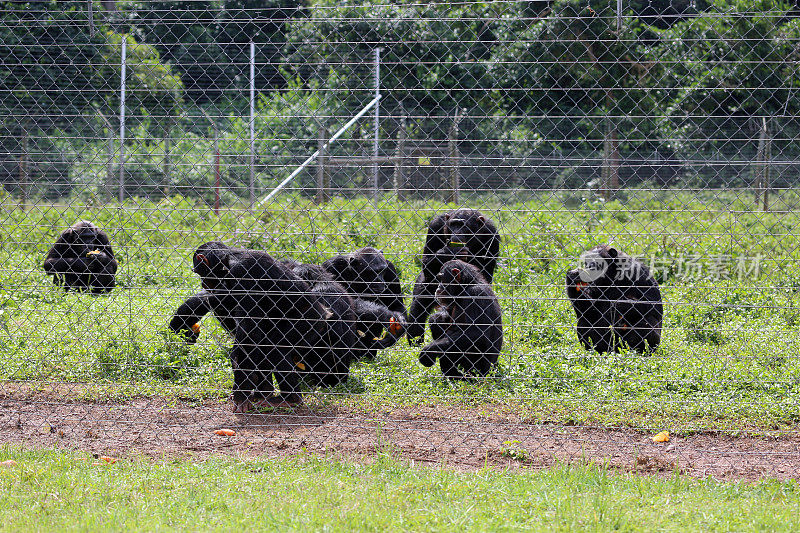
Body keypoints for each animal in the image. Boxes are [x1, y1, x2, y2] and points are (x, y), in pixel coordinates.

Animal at [406, 208, 500, 340]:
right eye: (453, 224)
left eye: (463, 225)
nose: (456, 232)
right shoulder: (435, 226)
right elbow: (426, 265)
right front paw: (450, 252)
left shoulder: (492, 237)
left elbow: (483, 274)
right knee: (418, 308)